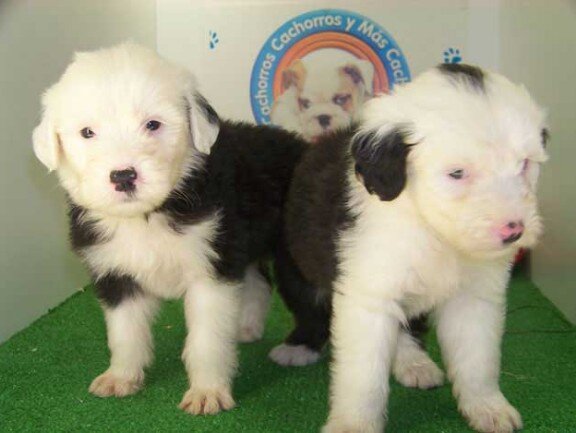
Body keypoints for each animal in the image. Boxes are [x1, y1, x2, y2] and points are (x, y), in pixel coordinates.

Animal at [31, 44, 306, 416]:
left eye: (153, 124)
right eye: (87, 132)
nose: (123, 176)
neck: (145, 217)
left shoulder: (209, 271)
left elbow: (206, 340)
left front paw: (207, 392)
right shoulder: (116, 275)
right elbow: (124, 333)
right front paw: (121, 377)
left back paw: (298, 349)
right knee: (259, 281)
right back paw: (247, 327)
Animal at [274, 65, 548, 432]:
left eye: (525, 164)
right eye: (457, 173)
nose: (514, 230)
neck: (432, 231)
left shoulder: (473, 298)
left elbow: (477, 359)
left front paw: (488, 407)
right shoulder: (369, 295)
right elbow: (364, 377)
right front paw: (354, 423)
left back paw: (414, 363)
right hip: (295, 264)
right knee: (308, 308)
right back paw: (298, 347)